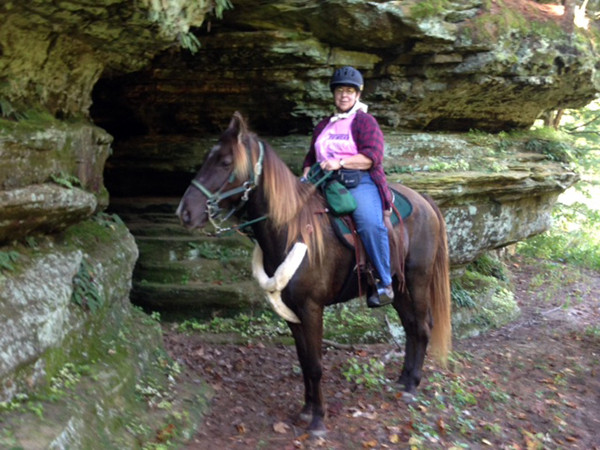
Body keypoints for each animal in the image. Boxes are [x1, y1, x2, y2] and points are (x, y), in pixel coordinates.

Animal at [177, 110, 450, 438]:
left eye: (226, 162)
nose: (185, 212)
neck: (291, 229)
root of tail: (425, 202)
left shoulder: (311, 309)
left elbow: (317, 365)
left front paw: (318, 421)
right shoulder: (291, 312)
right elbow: (304, 361)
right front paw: (306, 410)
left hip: (418, 280)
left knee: (421, 327)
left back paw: (411, 387)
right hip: (398, 287)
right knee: (410, 326)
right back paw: (403, 379)